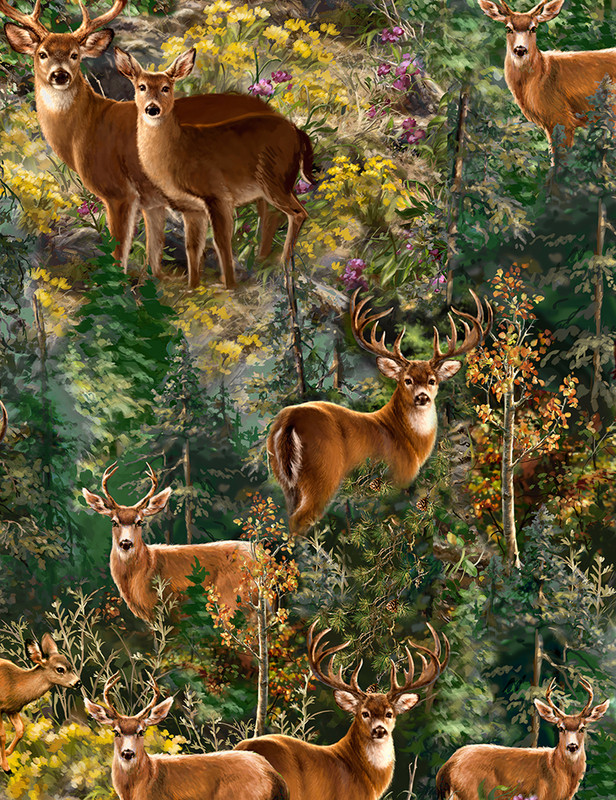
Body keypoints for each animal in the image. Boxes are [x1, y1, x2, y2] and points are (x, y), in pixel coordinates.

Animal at [0, 633, 81, 773]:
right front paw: (5, 767)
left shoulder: (12, 709)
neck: (14, 684)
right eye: (60, 669)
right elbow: (2, 735)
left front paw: (7, 752)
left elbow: (21, 730)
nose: (78, 683)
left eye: (70, 665)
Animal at [1, 0, 284, 287]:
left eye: (74, 55)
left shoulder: (119, 192)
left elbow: (119, 250)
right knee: (269, 211)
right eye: (42, 54)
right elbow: (154, 252)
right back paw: (263, 264)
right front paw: (154, 282)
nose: (60, 75)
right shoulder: (152, 200)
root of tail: (274, 112)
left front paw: (115, 288)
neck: (85, 130)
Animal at [114, 47, 314, 291]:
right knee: (274, 215)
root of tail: (298, 132)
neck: (178, 153)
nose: (152, 109)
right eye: (141, 86)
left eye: (166, 88)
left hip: (275, 179)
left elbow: (221, 242)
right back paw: (263, 262)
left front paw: (229, 286)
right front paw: (193, 287)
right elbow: (193, 247)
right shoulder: (191, 208)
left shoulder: (217, 194)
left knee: (298, 213)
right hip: (273, 186)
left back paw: (284, 265)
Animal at [268, 289, 492, 534]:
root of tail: (289, 422)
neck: (409, 441)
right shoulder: (399, 475)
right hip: (323, 472)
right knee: (301, 520)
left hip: (285, 480)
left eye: (432, 380)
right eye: (407, 380)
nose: (422, 397)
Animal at [436, 676, 610, 800]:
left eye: (582, 728)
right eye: (560, 728)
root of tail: (447, 766)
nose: (572, 746)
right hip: (471, 791)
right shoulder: (543, 794)